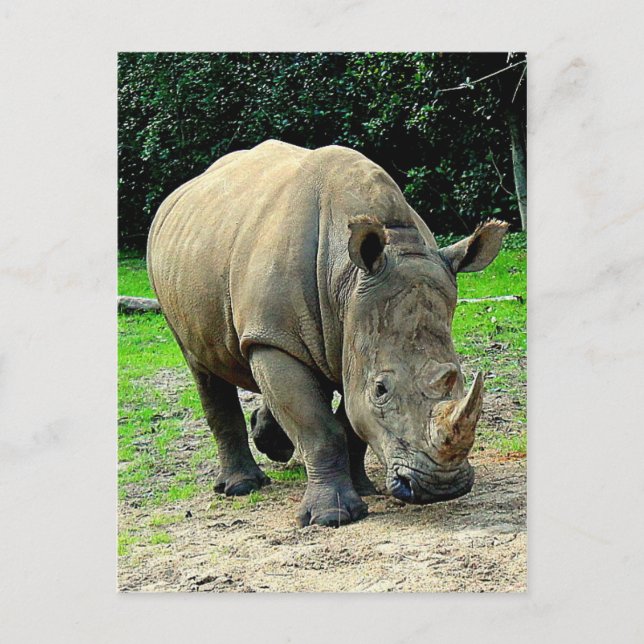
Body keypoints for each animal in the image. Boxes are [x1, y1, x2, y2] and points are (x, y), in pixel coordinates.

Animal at [147, 140, 507, 527]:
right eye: (381, 389)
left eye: (459, 378)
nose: (442, 487)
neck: (346, 282)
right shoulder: (273, 338)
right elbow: (320, 427)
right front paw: (331, 518)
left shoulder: (350, 336)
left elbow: (349, 418)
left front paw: (365, 489)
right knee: (202, 366)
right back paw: (241, 487)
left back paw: (272, 443)